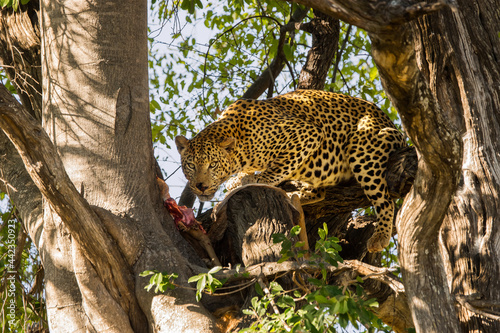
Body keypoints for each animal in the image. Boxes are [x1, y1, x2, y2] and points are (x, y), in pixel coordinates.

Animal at [176, 89, 406, 252]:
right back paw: (295, 195)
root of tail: (394, 126)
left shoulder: (306, 134)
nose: (200, 186)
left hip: (362, 146)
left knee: (384, 199)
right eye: (191, 165)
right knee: (320, 192)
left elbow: (274, 170)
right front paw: (239, 180)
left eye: (212, 164)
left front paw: (255, 180)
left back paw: (380, 236)